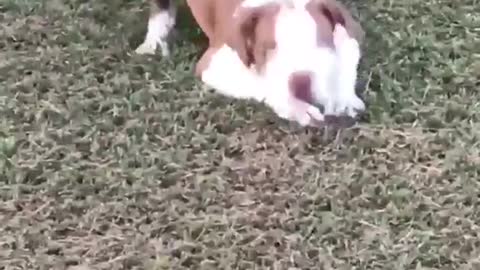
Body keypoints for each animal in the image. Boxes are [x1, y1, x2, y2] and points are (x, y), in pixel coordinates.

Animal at [135, 0, 368, 127]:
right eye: (268, 48)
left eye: (321, 42)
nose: (300, 81)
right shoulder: (214, 65)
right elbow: (264, 84)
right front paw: (296, 108)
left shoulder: (349, 32)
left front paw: (343, 99)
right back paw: (154, 41)